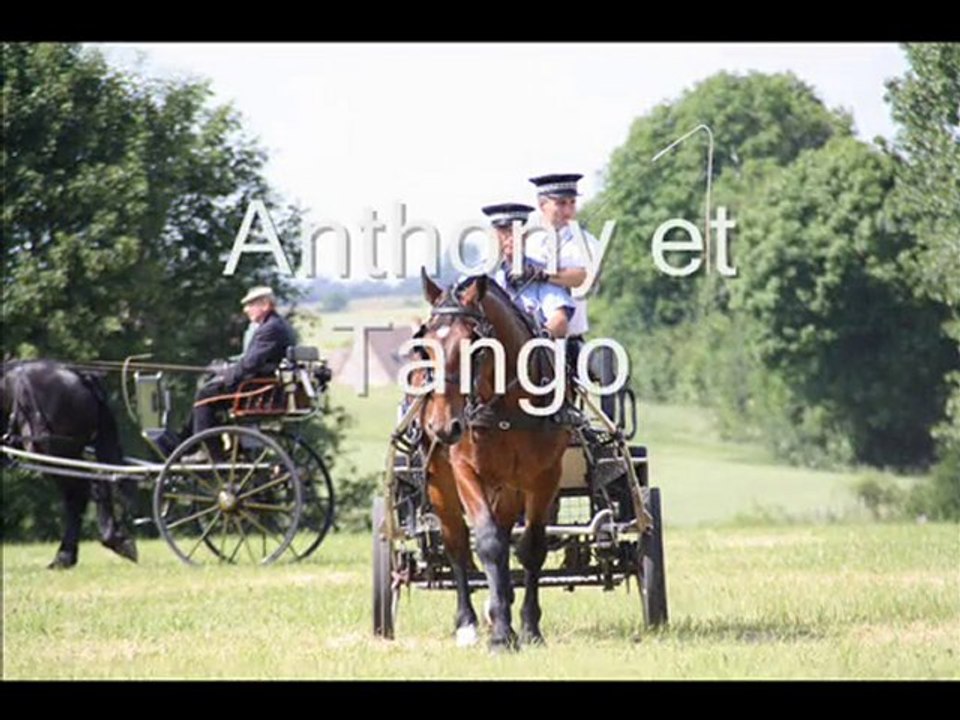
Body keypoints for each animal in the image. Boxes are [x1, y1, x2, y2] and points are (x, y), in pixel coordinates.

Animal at [415, 270, 571, 650]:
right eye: (425, 346)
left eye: (474, 344)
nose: (443, 426)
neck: (506, 406)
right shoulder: (464, 470)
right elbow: (487, 542)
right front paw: (500, 633)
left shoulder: (545, 475)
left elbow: (531, 547)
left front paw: (528, 627)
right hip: (439, 480)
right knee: (457, 544)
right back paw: (468, 623)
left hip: (510, 486)